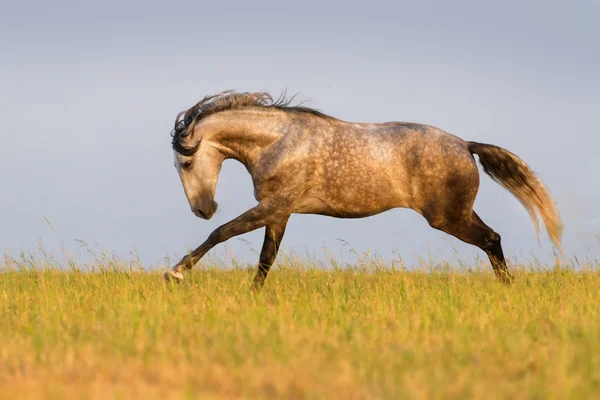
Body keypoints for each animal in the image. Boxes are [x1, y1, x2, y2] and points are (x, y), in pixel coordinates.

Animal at [164, 92, 564, 290]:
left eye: (185, 164)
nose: (203, 209)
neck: (280, 142)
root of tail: (466, 145)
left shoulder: (274, 206)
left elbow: (222, 233)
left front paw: (176, 273)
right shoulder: (280, 212)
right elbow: (266, 258)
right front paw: (254, 297)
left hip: (448, 218)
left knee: (491, 239)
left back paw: (508, 290)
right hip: (460, 213)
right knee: (492, 240)